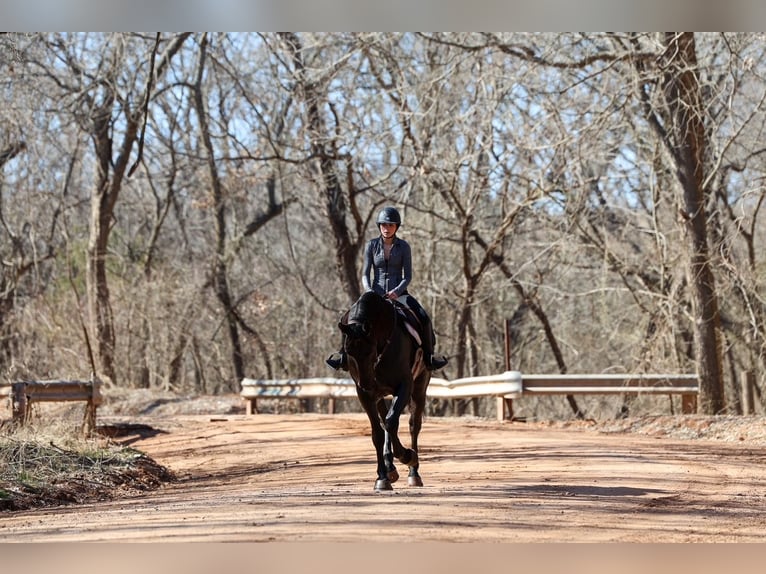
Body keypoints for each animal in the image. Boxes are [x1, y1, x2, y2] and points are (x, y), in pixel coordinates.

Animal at [338, 290, 431, 492]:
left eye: (369, 350)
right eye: (348, 351)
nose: (367, 384)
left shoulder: (404, 386)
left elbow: (391, 422)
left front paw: (407, 456)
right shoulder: (365, 395)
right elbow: (378, 433)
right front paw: (382, 477)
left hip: (420, 387)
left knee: (413, 425)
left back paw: (414, 473)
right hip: (379, 395)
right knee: (385, 420)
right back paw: (390, 468)